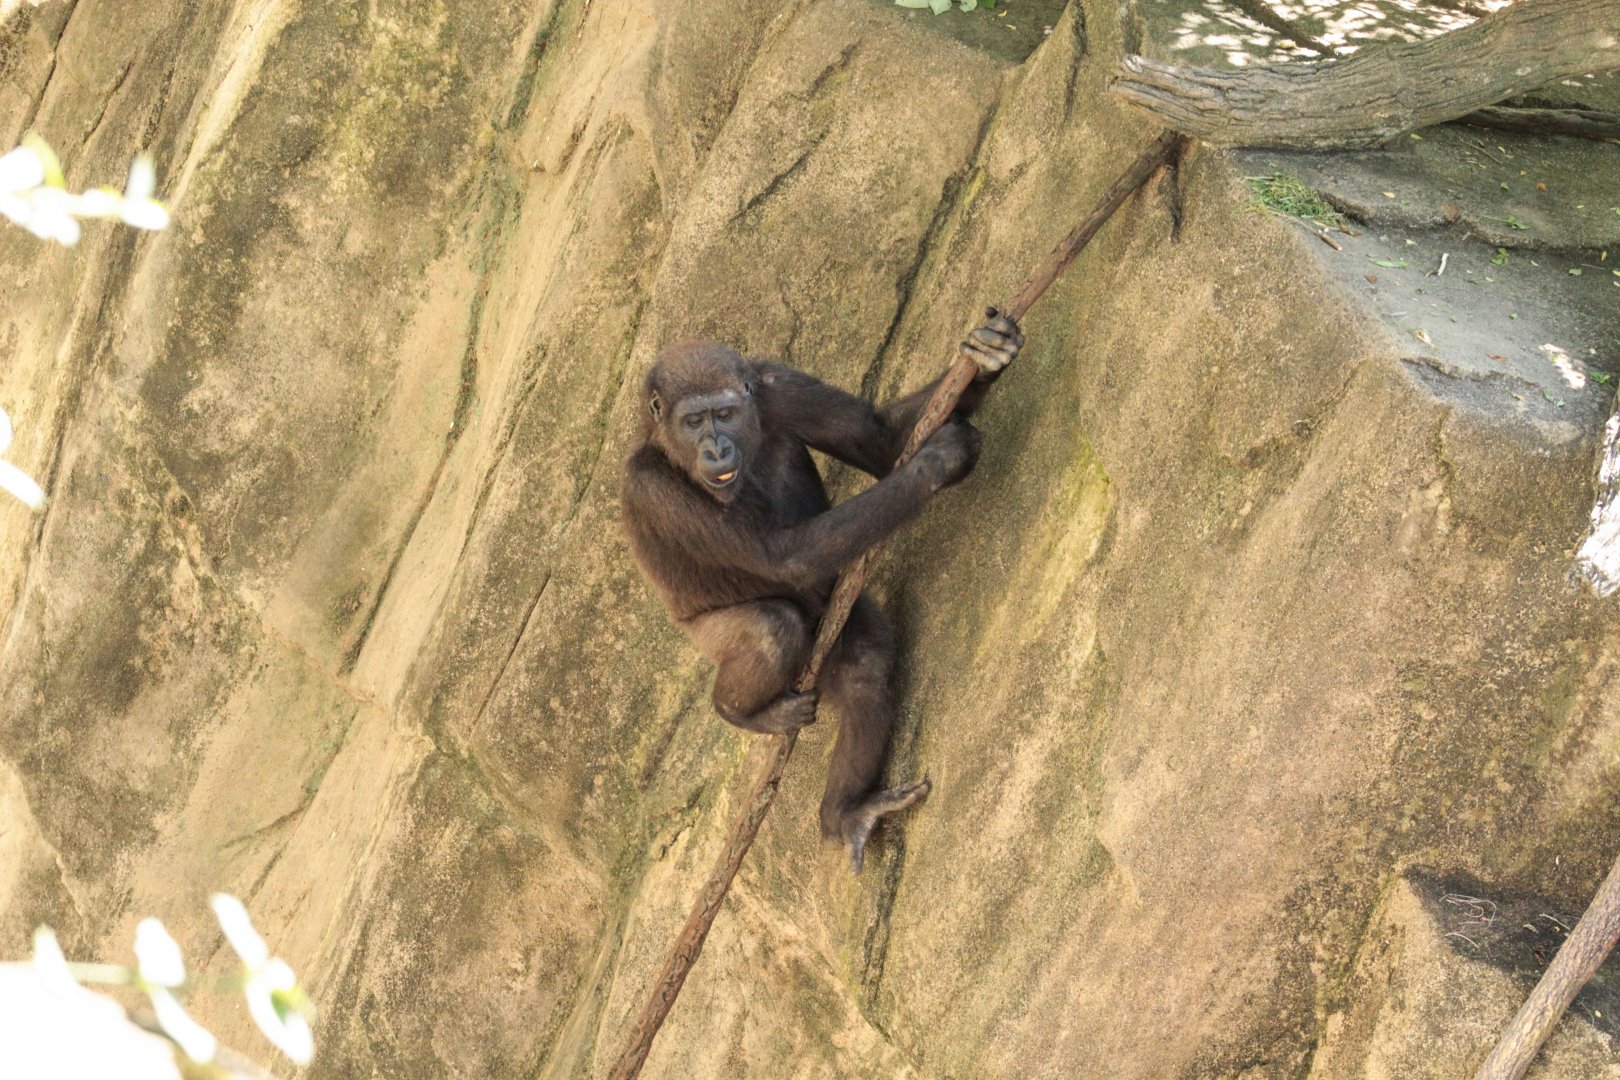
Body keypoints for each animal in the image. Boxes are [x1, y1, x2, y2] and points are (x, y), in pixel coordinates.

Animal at [621, 314, 1022, 872]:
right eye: (694, 421)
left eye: (725, 414)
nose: (716, 449)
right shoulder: (655, 491)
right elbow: (785, 556)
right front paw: (937, 461)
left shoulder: (776, 387)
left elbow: (878, 439)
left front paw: (988, 356)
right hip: (701, 633)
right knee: (771, 629)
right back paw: (738, 711)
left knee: (863, 665)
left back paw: (845, 813)